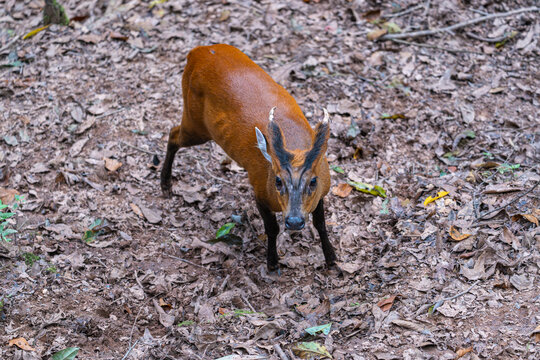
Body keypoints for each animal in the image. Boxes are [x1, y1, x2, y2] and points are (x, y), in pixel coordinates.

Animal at [161, 44, 338, 270]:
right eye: (278, 180)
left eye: (313, 181)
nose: (294, 221)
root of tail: (198, 51)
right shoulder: (259, 190)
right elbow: (271, 228)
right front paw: (272, 263)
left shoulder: (322, 191)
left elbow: (321, 224)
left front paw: (332, 259)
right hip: (195, 121)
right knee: (173, 134)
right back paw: (165, 184)